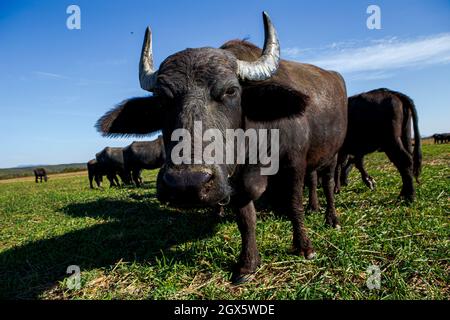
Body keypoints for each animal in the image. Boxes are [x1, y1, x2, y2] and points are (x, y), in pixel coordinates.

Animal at [96, 12, 348, 282]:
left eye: (231, 91)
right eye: (162, 98)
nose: (186, 184)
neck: (255, 150)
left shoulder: (294, 162)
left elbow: (294, 203)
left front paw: (304, 247)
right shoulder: (234, 180)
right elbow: (246, 218)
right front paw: (248, 264)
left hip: (333, 154)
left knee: (327, 183)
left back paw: (331, 218)